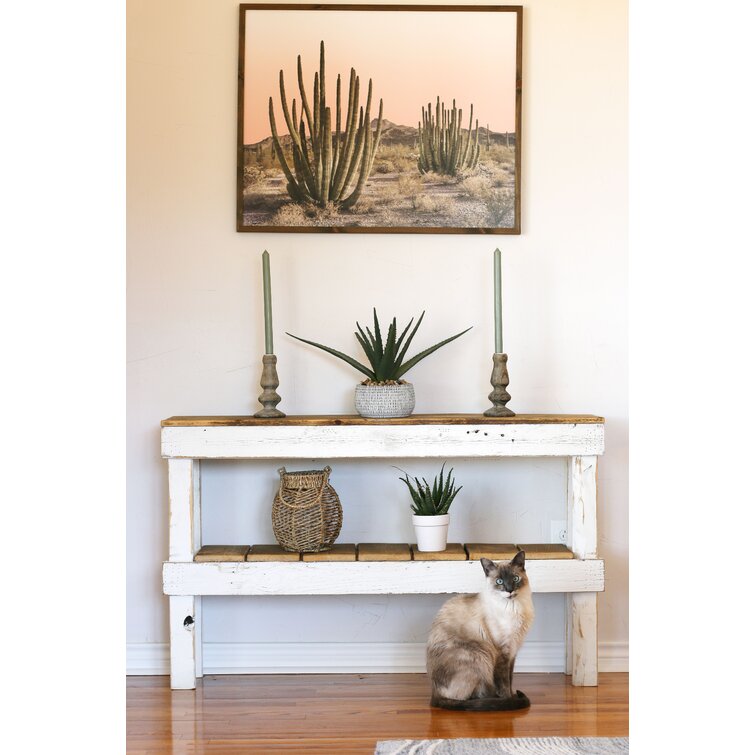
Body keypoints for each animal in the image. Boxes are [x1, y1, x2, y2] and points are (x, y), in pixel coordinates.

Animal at [428, 552, 536, 712]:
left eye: (515, 579)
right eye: (499, 581)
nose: (509, 590)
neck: (514, 607)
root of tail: (434, 694)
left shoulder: (512, 652)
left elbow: (510, 680)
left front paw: (512, 696)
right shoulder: (503, 653)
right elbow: (504, 684)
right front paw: (510, 700)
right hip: (480, 655)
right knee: (469, 698)